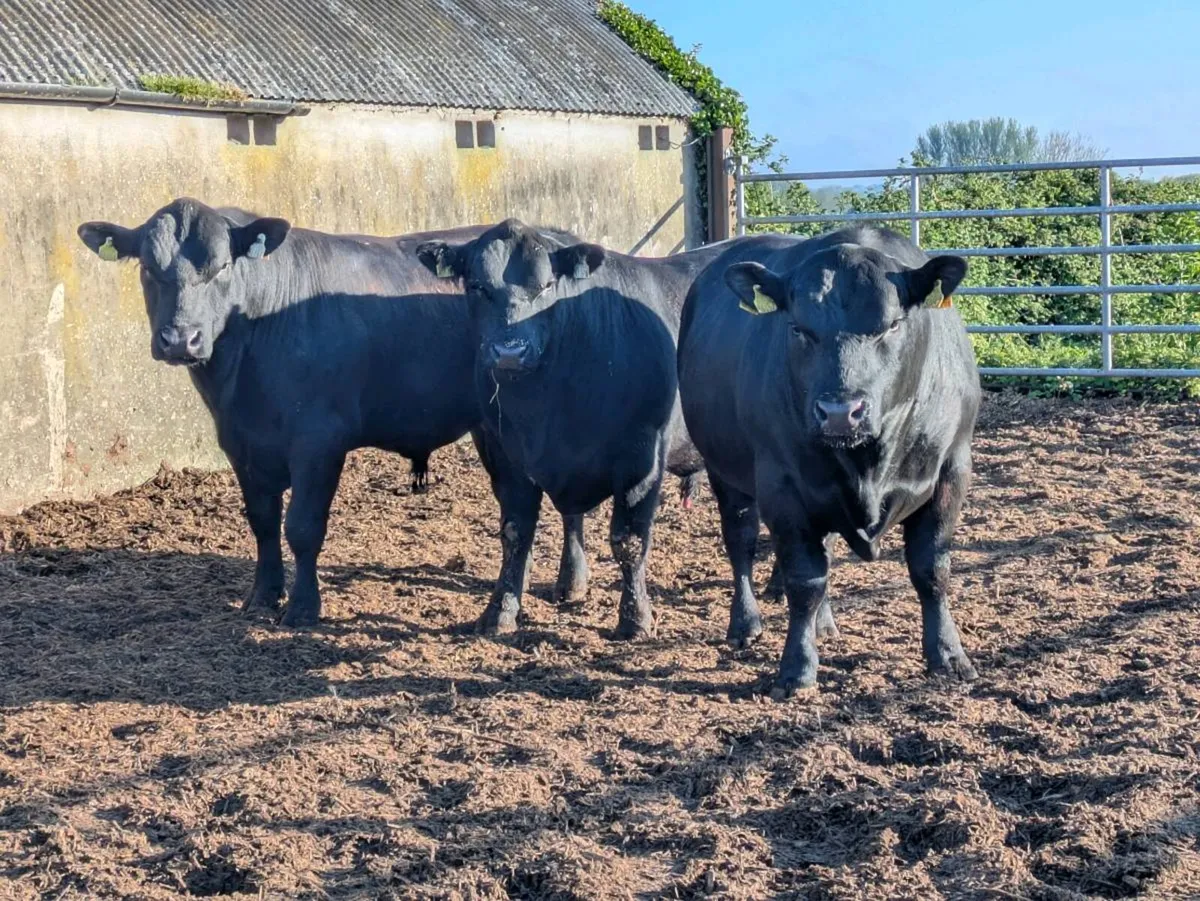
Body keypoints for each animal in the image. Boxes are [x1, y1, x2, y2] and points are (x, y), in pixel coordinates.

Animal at [77, 198, 591, 627]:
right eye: (148, 267)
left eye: (221, 266)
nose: (181, 339)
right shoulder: (240, 444)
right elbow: (262, 522)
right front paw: (262, 597)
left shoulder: (318, 442)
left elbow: (302, 527)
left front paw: (303, 608)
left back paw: (556, 587)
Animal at [415, 220, 726, 639]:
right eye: (477, 286)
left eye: (547, 286)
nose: (510, 351)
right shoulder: (502, 455)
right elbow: (517, 534)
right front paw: (501, 612)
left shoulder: (641, 459)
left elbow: (628, 541)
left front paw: (635, 620)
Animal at [677, 226, 980, 697]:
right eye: (797, 328)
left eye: (893, 324)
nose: (840, 411)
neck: (868, 464)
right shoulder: (781, 485)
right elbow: (805, 580)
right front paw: (797, 668)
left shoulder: (952, 470)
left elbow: (932, 568)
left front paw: (947, 655)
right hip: (724, 469)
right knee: (741, 541)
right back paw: (745, 623)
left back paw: (823, 623)